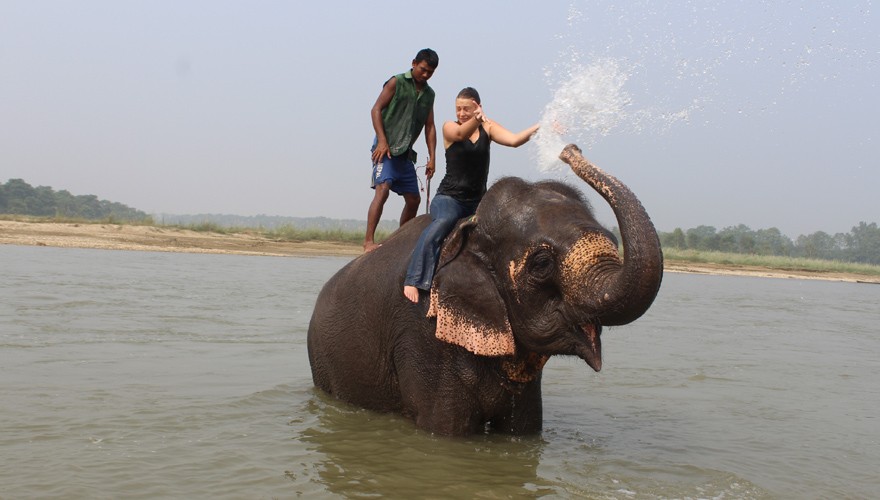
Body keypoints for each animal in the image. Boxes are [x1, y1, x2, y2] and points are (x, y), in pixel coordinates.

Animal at [308, 144, 660, 434]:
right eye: (542, 264)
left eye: (613, 241)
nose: (570, 150)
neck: (468, 227)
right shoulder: (423, 336)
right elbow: (446, 431)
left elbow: (524, 431)